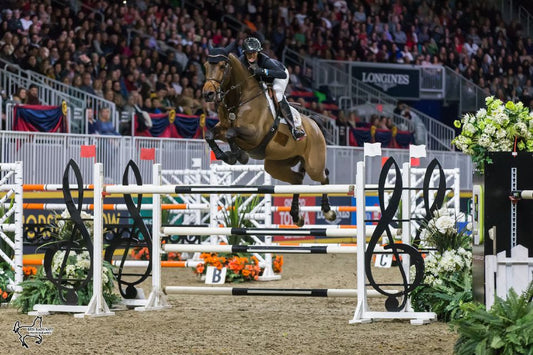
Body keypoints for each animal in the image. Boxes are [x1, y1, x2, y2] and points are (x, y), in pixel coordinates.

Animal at [202, 43, 334, 227]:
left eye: (222, 66)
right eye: (206, 65)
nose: (208, 94)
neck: (239, 99)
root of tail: (315, 125)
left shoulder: (254, 134)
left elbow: (231, 133)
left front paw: (238, 156)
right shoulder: (222, 128)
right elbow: (210, 135)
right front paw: (227, 156)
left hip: (313, 164)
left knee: (324, 177)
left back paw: (328, 211)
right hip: (276, 165)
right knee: (297, 180)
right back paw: (296, 216)